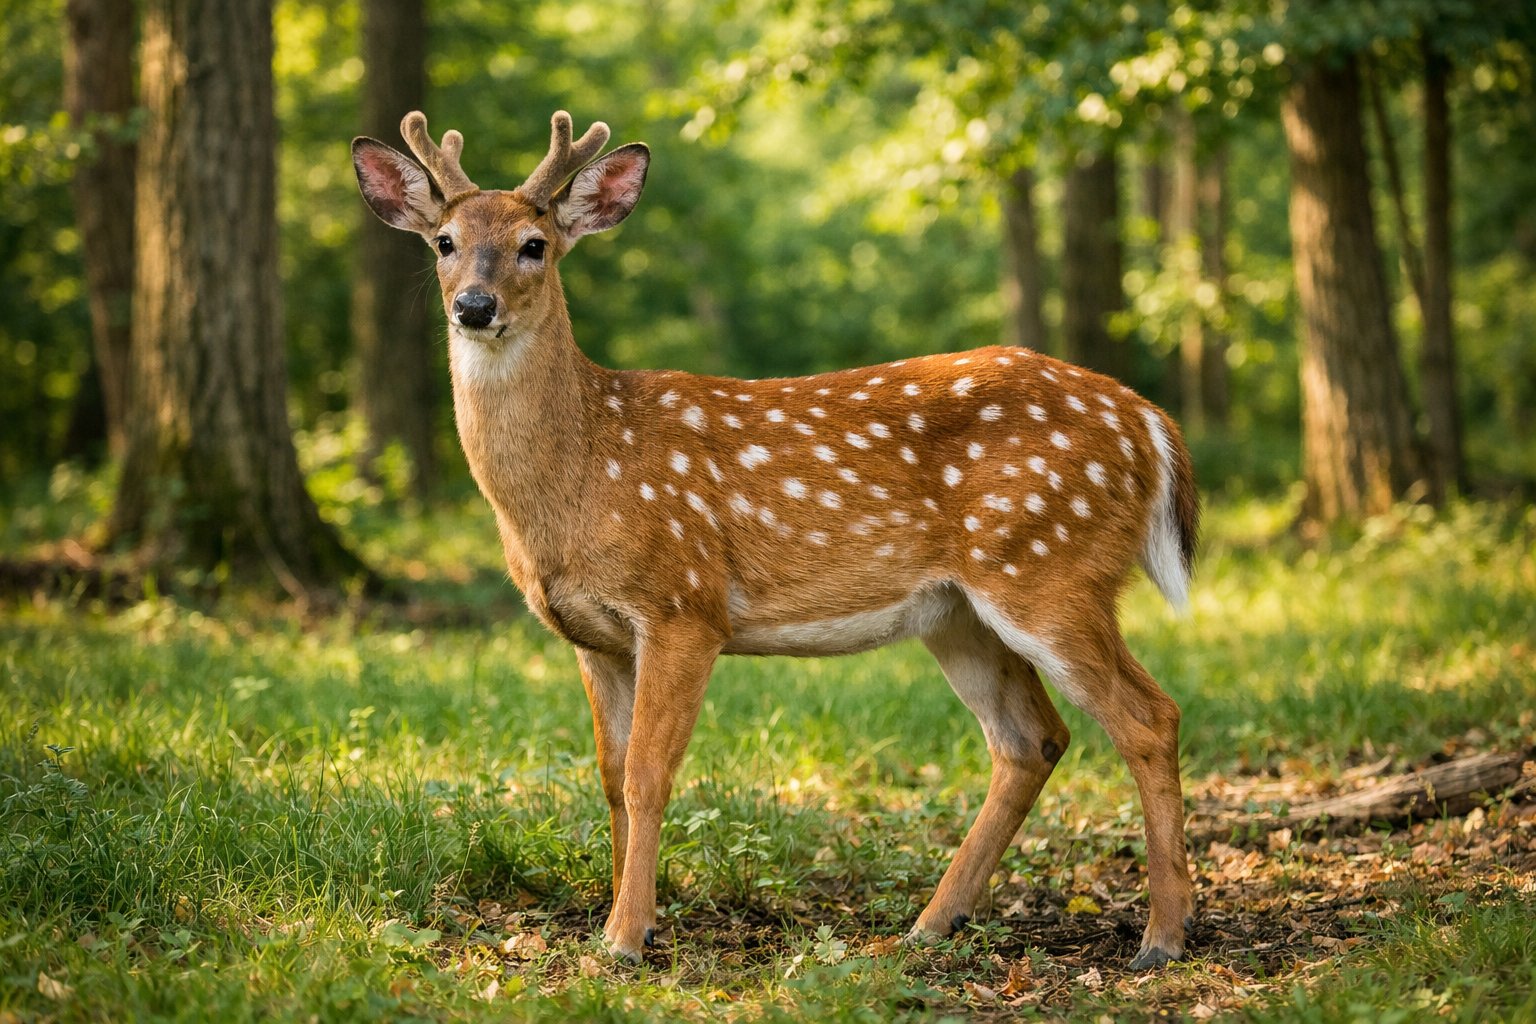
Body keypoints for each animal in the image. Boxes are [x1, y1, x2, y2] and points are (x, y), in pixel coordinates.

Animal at [352, 110, 1201, 971]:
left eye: (535, 243)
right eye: (444, 241)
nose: (475, 306)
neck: (582, 474)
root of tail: (1149, 421)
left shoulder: (684, 604)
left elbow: (649, 774)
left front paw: (626, 938)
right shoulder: (594, 637)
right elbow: (610, 776)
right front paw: (623, 918)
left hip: (1050, 567)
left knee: (1149, 717)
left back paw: (1162, 937)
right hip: (960, 612)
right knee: (1033, 740)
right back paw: (934, 922)